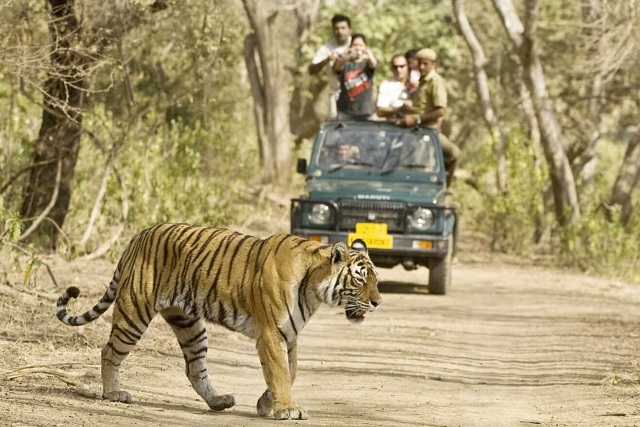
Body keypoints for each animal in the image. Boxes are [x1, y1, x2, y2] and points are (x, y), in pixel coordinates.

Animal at [56, 224, 380, 422]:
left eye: (377, 279)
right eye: (360, 278)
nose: (378, 302)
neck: (314, 287)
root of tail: (139, 235)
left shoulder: (290, 334)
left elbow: (291, 372)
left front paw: (266, 403)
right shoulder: (271, 332)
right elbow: (280, 372)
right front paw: (287, 409)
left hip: (189, 324)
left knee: (194, 369)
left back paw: (218, 401)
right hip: (134, 311)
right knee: (109, 351)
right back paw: (114, 394)